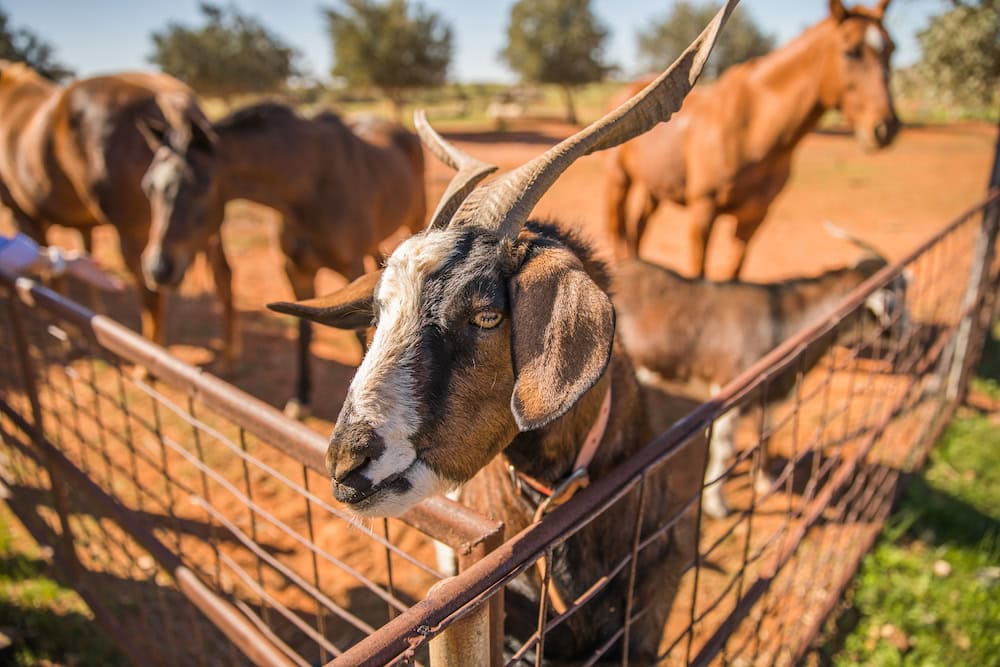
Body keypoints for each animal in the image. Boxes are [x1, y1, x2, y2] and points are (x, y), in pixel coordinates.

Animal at [0, 60, 228, 358]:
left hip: (136, 232)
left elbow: (53, 281)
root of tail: (167, 96)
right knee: (222, 274)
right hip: (207, 220)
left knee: (151, 294)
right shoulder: (83, 224)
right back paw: (229, 357)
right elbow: (85, 263)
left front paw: (67, 335)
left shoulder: (25, 216)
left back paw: (147, 359)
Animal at [138, 102, 426, 414]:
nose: (158, 268)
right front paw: (301, 398)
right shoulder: (296, 270)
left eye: (202, 183)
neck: (310, 189)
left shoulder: (350, 266)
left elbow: (359, 332)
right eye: (148, 186)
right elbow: (304, 330)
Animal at [604, 0, 904, 276]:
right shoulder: (703, 210)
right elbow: (698, 273)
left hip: (656, 186)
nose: (885, 127)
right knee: (617, 230)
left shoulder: (755, 216)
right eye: (850, 52)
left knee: (639, 227)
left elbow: (734, 274)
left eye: (891, 48)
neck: (752, 130)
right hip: (619, 182)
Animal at [612, 223, 912, 516]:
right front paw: (717, 505)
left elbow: (766, 435)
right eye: (896, 302)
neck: (779, 323)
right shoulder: (728, 394)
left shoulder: (771, 393)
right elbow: (723, 450)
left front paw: (765, 483)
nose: (908, 333)